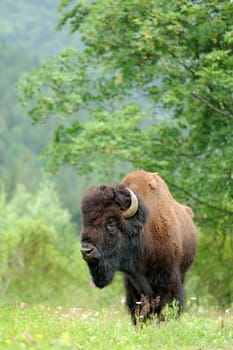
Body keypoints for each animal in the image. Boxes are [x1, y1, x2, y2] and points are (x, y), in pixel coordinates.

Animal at [80, 170, 197, 322]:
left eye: (111, 222)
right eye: (85, 222)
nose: (86, 250)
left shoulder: (169, 278)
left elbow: (165, 307)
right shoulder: (132, 283)